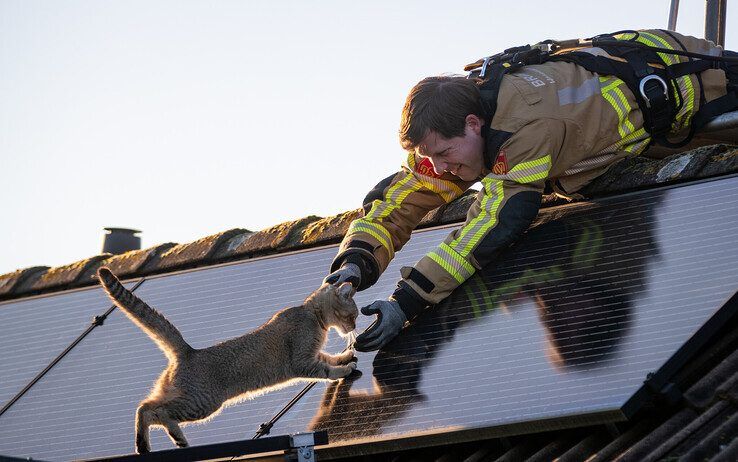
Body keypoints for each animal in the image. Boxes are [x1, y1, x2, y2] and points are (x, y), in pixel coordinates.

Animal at [97, 268, 356, 452]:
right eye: (352, 315)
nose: (354, 326)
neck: (312, 315)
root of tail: (188, 351)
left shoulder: (312, 355)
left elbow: (329, 357)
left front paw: (345, 356)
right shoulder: (302, 360)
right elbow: (325, 371)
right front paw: (344, 370)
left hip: (181, 395)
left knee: (148, 406)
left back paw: (164, 441)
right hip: (202, 402)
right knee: (153, 410)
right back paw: (150, 443)